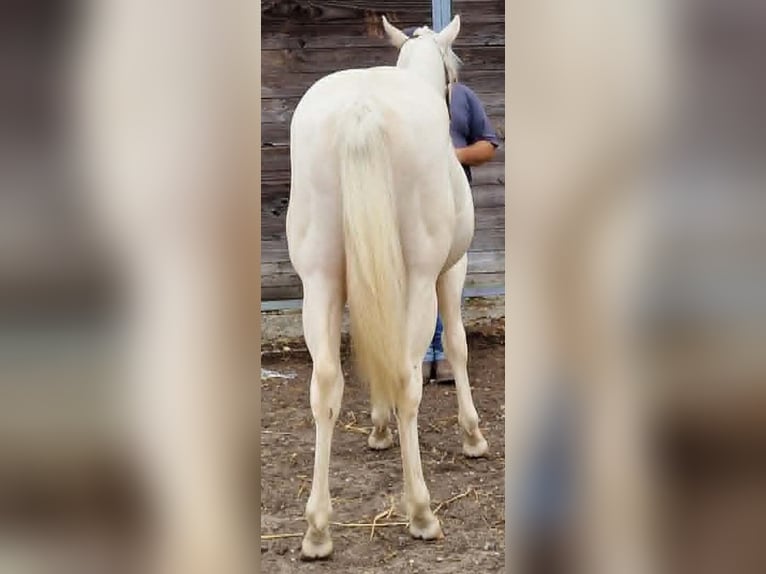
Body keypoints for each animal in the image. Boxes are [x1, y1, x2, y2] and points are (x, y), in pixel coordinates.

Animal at [286, 14, 488, 560]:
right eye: (452, 74)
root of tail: (362, 109)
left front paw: (378, 427)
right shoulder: (449, 271)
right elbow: (456, 346)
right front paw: (473, 436)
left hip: (319, 280)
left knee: (325, 384)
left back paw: (318, 529)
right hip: (418, 278)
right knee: (405, 375)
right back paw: (421, 512)